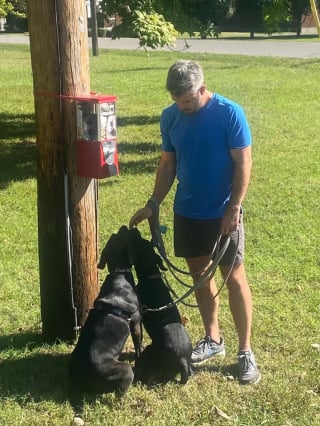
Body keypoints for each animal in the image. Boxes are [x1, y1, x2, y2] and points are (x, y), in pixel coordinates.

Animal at [69, 226, 142, 416]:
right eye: (122, 235)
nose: (124, 226)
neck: (119, 272)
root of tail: (84, 375)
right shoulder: (136, 323)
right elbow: (139, 343)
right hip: (126, 371)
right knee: (119, 395)